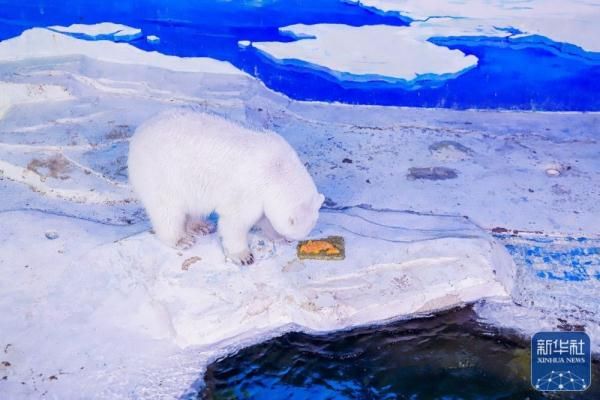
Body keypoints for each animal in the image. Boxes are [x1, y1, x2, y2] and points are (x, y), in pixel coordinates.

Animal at [126, 110, 324, 266]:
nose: (291, 240)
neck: (278, 168)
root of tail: (140, 132)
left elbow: (264, 217)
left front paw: (276, 236)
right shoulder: (250, 188)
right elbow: (235, 222)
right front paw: (244, 256)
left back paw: (200, 226)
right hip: (163, 174)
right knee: (167, 210)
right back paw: (181, 240)